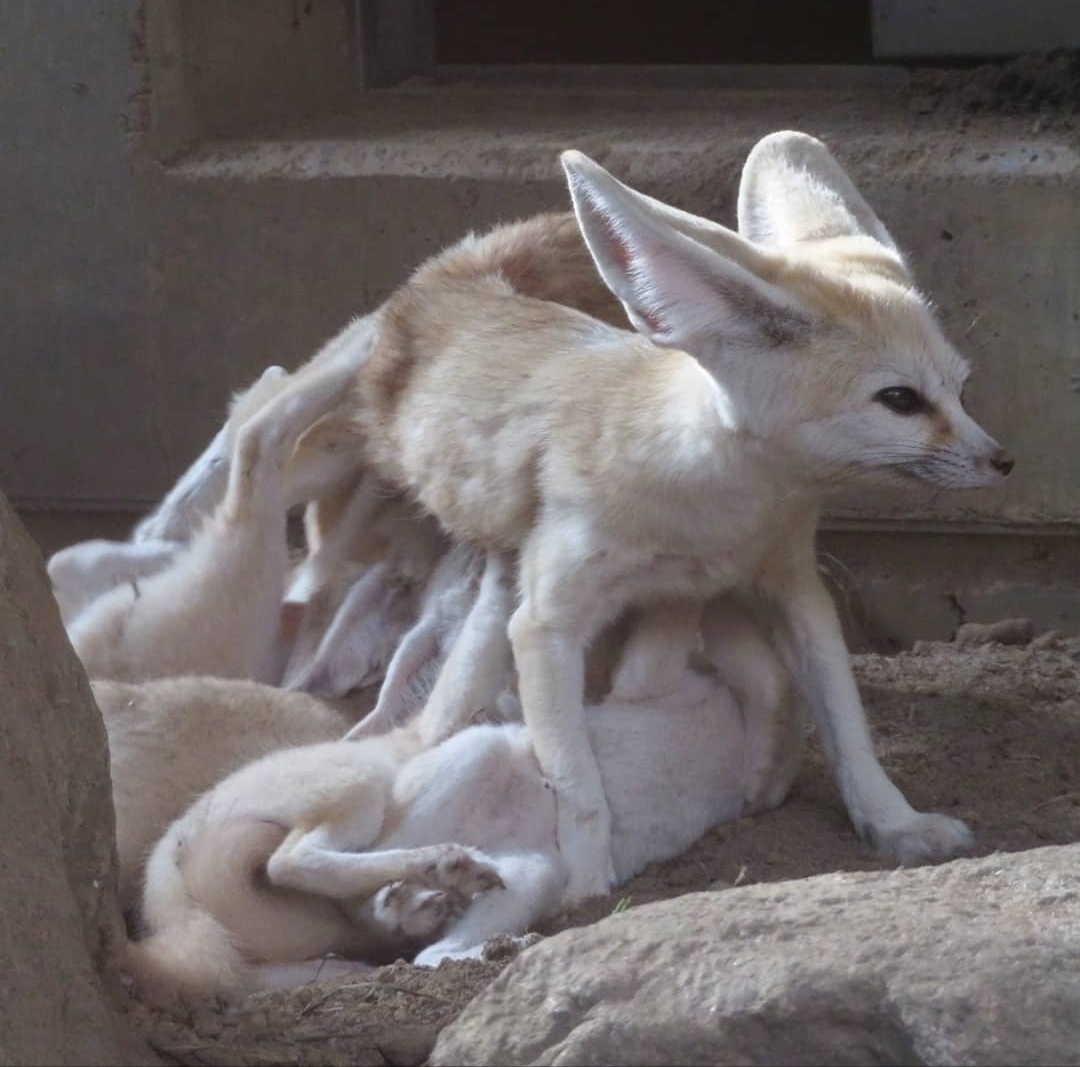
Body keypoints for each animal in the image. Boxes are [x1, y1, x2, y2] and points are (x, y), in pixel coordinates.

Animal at [126, 596, 803, 1006]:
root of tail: (169, 851)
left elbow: (759, 686)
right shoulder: (651, 679)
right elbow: (698, 631)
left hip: (534, 872)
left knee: (423, 948)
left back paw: (471, 924)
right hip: (442, 769)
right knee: (312, 872)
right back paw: (434, 880)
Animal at [238, 131, 1010, 898]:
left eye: (963, 389)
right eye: (901, 400)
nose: (1003, 462)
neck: (712, 507)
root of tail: (464, 271)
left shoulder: (793, 590)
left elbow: (848, 725)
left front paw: (894, 821)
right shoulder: (548, 624)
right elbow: (575, 776)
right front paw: (585, 883)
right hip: (321, 464)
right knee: (252, 447)